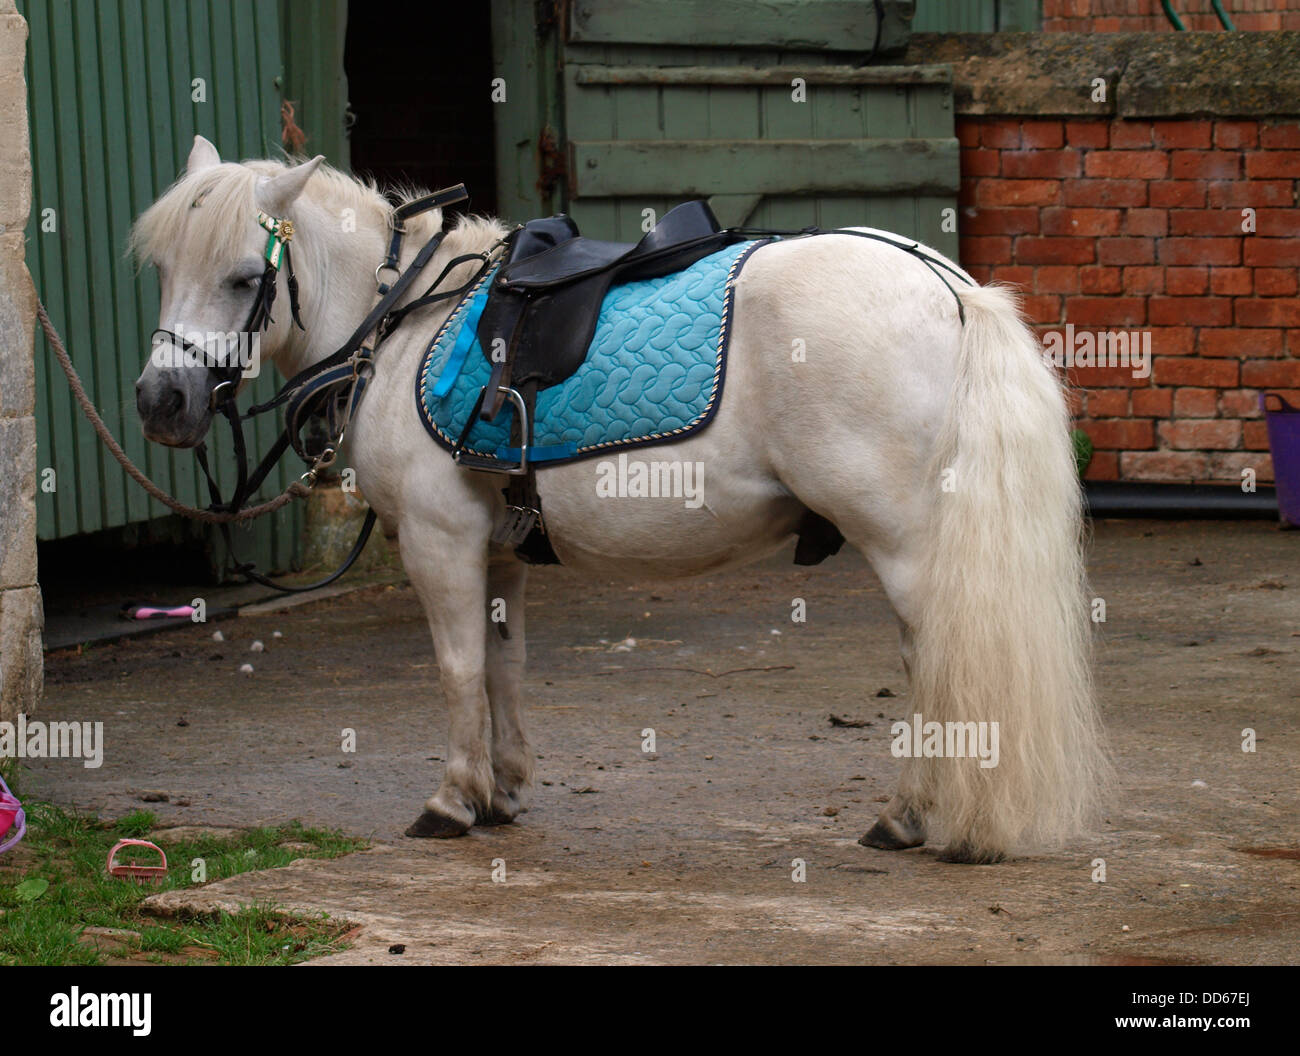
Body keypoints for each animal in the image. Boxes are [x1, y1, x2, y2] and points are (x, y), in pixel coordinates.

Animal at [131, 140, 1107, 863]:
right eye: (163, 269)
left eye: (241, 277)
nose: (160, 402)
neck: (406, 326)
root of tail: (951, 288)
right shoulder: (497, 550)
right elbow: (503, 666)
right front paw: (504, 789)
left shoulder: (441, 542)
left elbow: (456, 669)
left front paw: (453, 800)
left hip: (902, 544)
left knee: (935, 660)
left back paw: (913, 815)